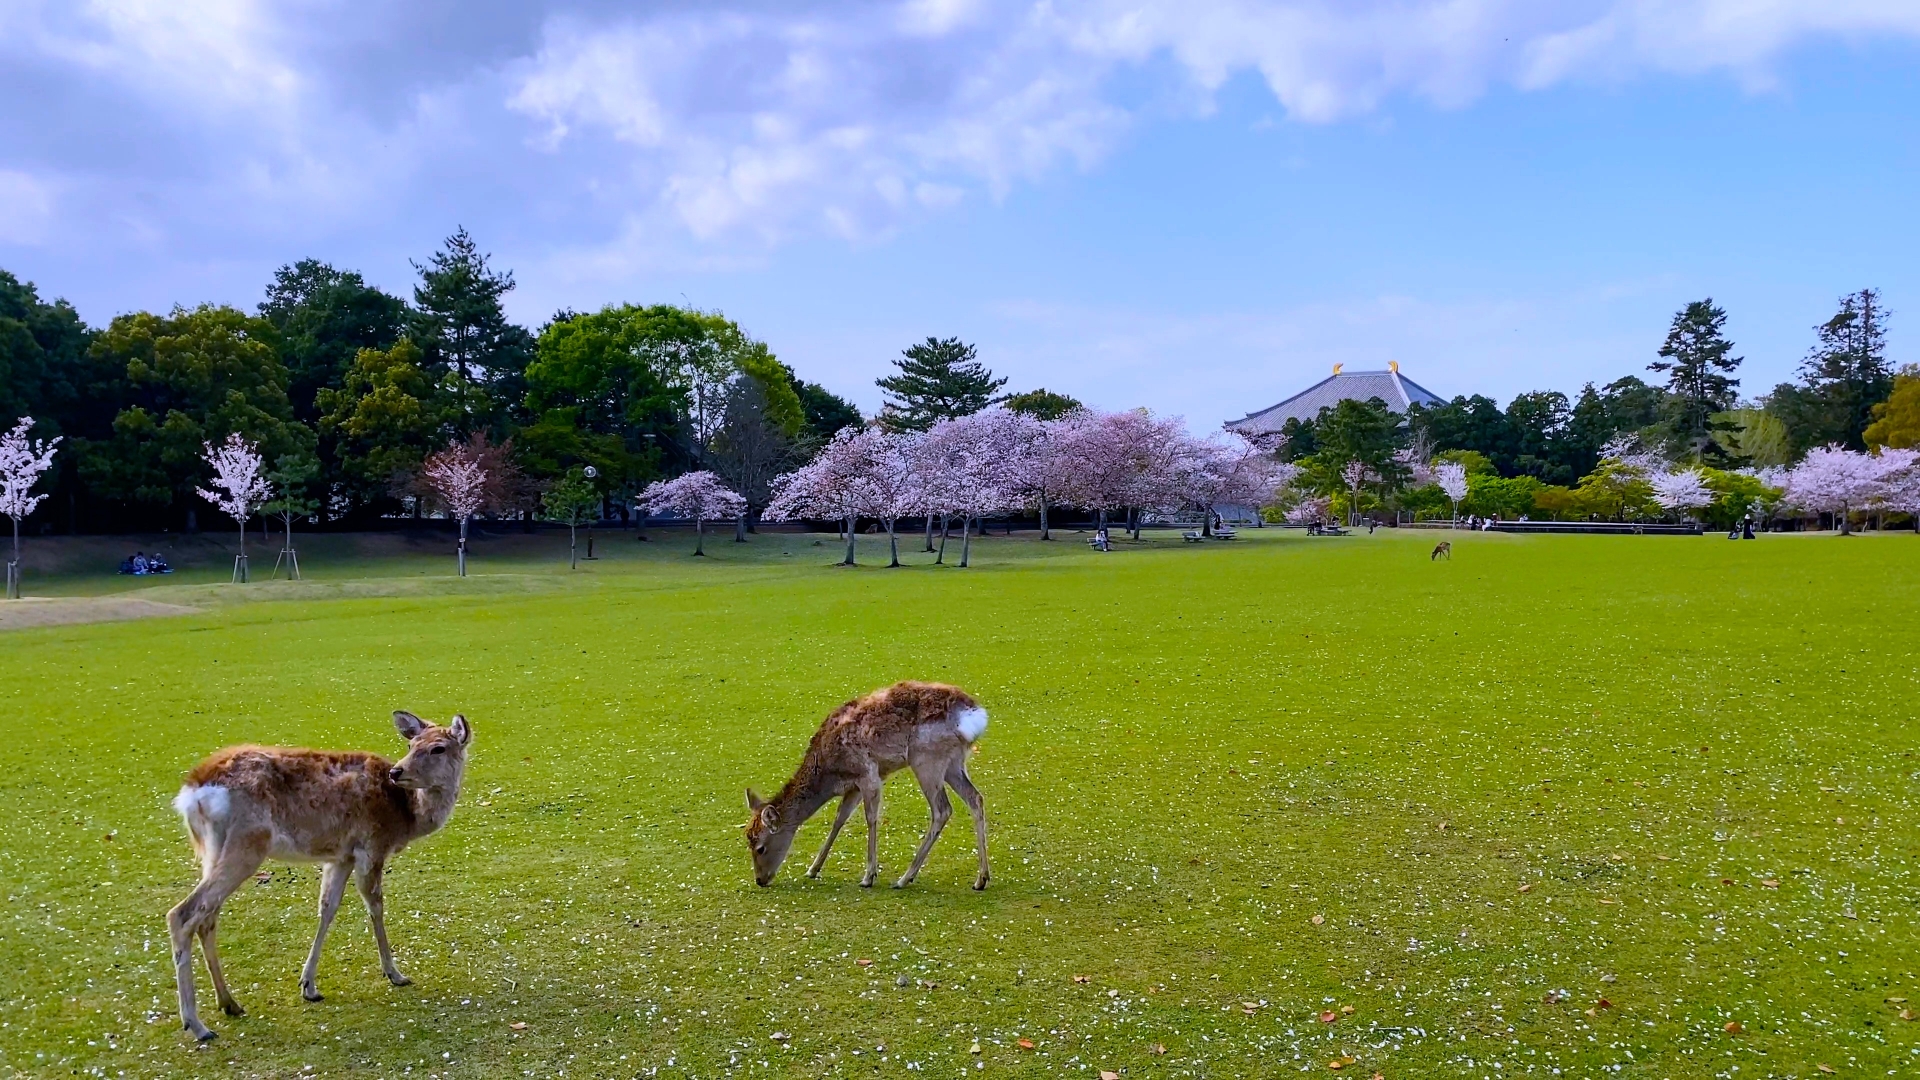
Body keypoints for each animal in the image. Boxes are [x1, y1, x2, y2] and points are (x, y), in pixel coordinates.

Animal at [165, 710, 472, 1041]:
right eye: (412, 744)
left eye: (438, 748)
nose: (396, 772)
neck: (407, 817)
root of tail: (192, 793)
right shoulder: (371, 846)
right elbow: (375, 906)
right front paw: (395, 973)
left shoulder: (341, 857)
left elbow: (327, 907)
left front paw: (308, 986)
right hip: (248, 843)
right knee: (182, 913)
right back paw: (197, 1025)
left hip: (213, 849)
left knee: (207, 917)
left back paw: (229, 1003)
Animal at [746, 681, 989, 891]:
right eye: (747, 839)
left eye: (760, 847)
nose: (759, 880)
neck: (828, 772)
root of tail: (973, 714)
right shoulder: (853, 786)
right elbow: (839, 819)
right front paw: (813, 869)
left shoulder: (868, 773)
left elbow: (871, 818)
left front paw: (868, 876)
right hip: (954, 762)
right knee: (975, 798)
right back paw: (981, 879)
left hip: (926, 759)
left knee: (942, 810)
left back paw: (904, 878)